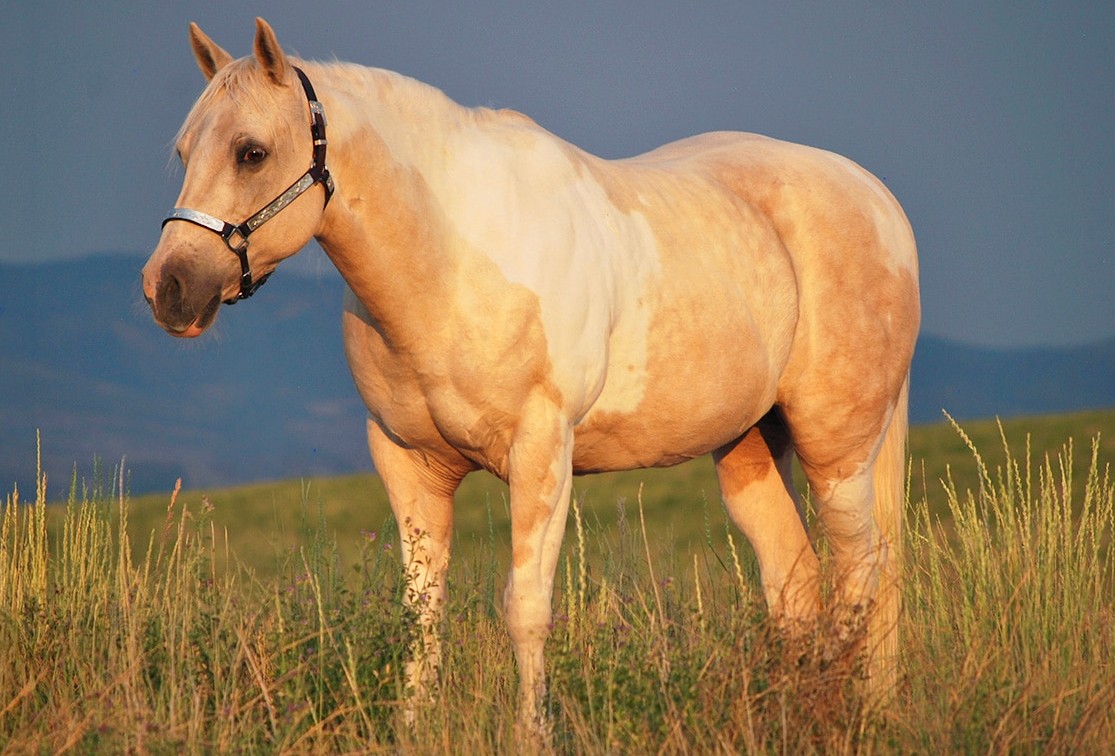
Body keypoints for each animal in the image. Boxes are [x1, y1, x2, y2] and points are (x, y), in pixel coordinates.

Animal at [142, 18, 920, 733]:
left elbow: (525, 609)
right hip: (751, 449)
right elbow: (421, 613)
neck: (453, 259)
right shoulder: (406, 462)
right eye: (183, 151)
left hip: (837, 449)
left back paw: (865, 714)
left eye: (251, 152)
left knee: (865, 571)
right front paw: (413, 727)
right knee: (795, 585)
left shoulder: (541, 451)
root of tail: (875, 197)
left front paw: (531, 731)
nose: (168, 288)